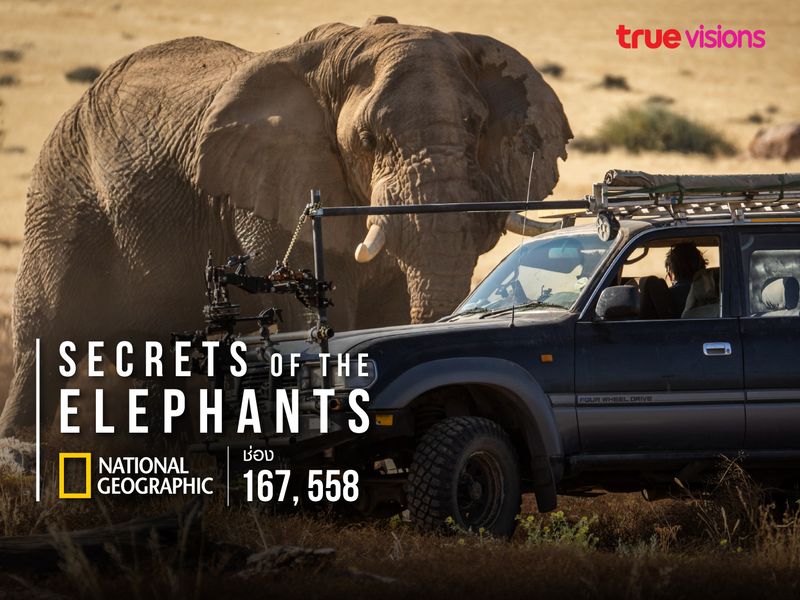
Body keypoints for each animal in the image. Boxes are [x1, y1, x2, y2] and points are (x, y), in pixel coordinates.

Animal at [0, 16, 571, 436]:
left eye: (477, 126)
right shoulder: (272, 182)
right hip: (64, 183)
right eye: (368, 139)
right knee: (44, 328)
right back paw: (21, 453)